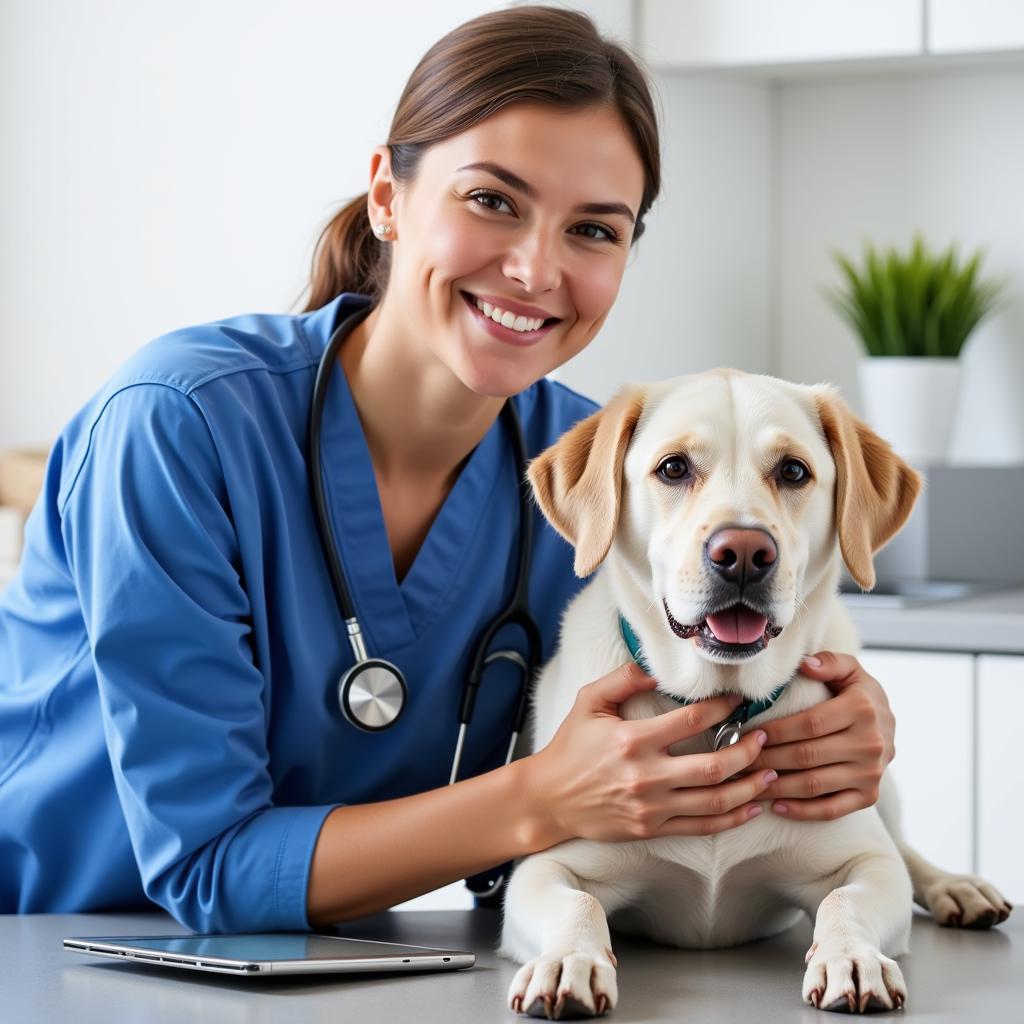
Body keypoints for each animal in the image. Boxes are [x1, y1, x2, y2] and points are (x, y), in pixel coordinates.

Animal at [499, 372, 1011, 1019]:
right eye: (673, 468)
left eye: (793, 471)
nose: (742, 552)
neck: (718, 708)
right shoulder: (548, 866)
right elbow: (578, 903)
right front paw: (569, 961)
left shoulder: (867, 862)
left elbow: (848, 897)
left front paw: (853, 958)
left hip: (881, 790)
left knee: (905, 849)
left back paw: (958, 887)